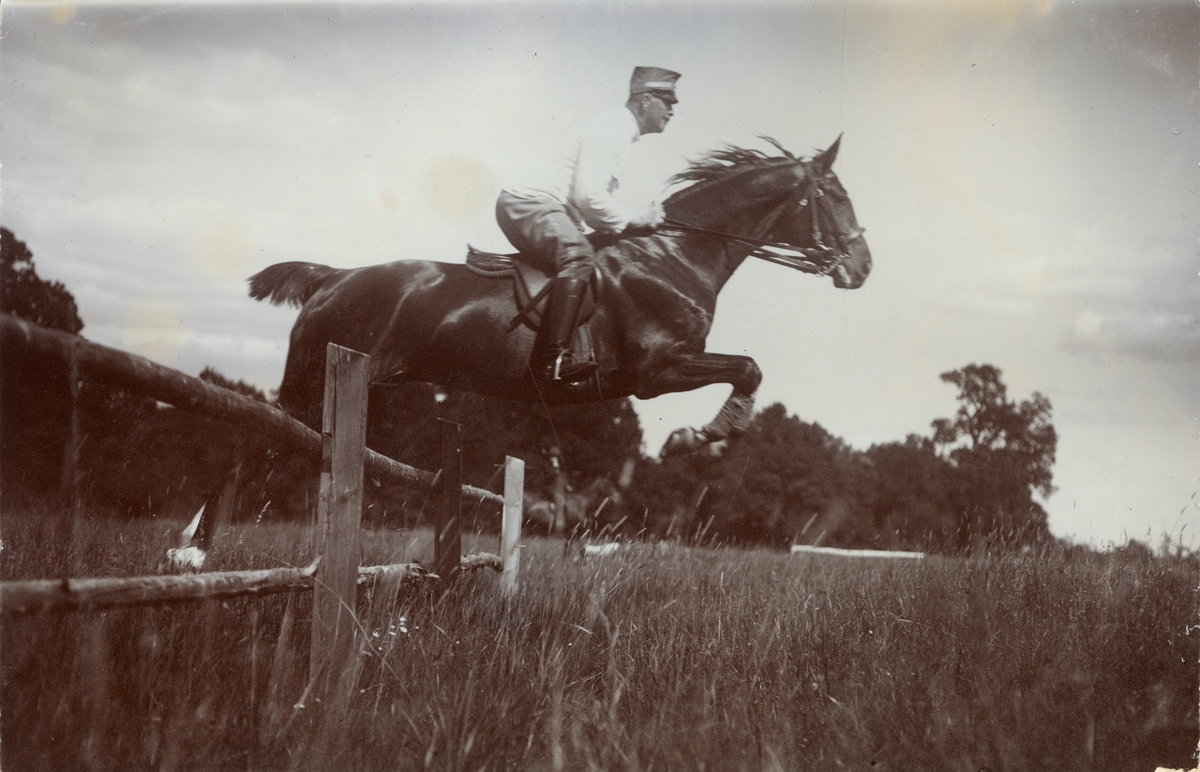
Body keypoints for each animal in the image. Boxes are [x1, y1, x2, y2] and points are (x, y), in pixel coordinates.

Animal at [248, 136, 870, 456]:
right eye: (837, 196)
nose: (863, 267)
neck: (675, 254)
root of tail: (331, 277)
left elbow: (749, 369)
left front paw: (707, 437)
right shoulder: (655, 370)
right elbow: (747, 367)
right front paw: (701, 437)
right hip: (323, 380)